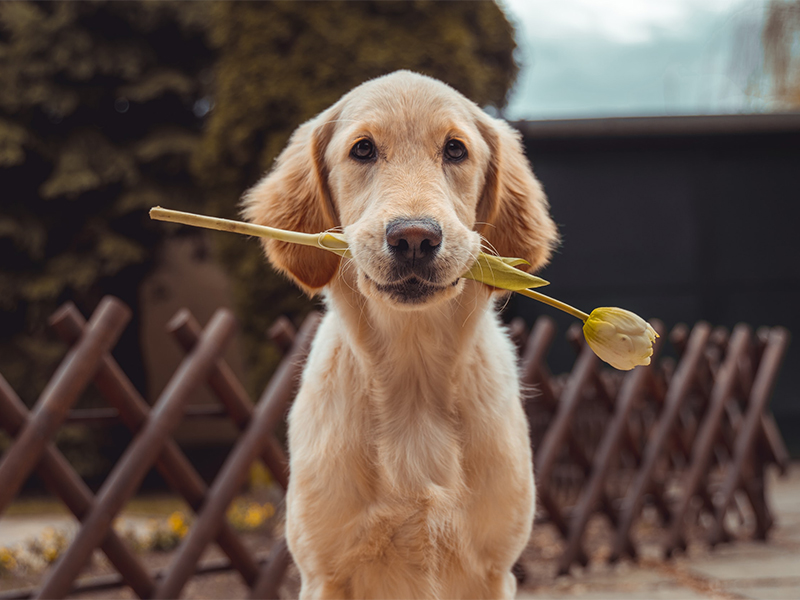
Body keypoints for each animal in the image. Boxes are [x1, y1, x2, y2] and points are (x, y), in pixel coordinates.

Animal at [242, 71, 556, 600]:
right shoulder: (323, 572)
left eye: (455, 150)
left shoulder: (495, 570)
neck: (414, 376)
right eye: (363, 149)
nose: (414, 239)